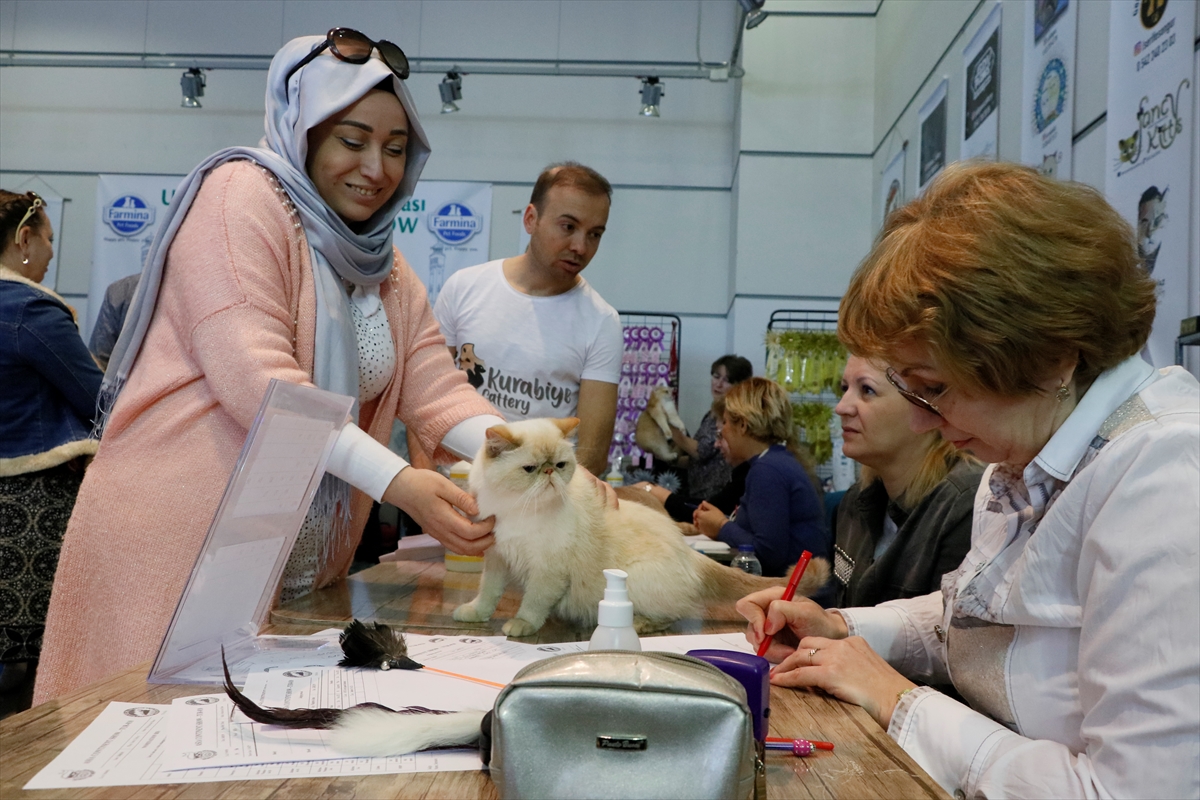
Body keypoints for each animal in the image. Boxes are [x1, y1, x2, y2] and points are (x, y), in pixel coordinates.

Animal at [451, 417, 825, 633]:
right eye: (530, 469)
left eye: (559, 465)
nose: (549, 474)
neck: (516, 509)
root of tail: (690, 554)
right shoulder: (497, 557)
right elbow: (488, 593)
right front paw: (474, 614)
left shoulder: (548, 570)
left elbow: (533, 603)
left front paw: (521, 625)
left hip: (634, 581)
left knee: (672, 616)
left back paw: (640, 624)